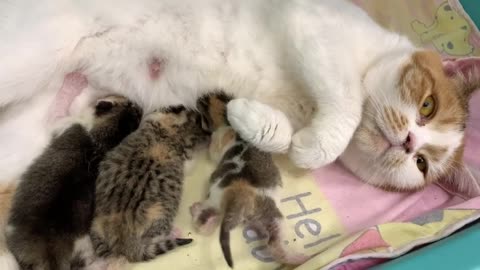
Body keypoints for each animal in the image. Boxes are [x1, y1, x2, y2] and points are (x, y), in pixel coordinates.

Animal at [190, 93, 308, 268]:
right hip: (272, 214)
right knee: (274, 244)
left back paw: (198, 213)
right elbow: (214, 151)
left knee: (204, 220)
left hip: (216, 198)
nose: (199, 98)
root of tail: (237, 195)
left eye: (206, 102)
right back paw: (299, 258)